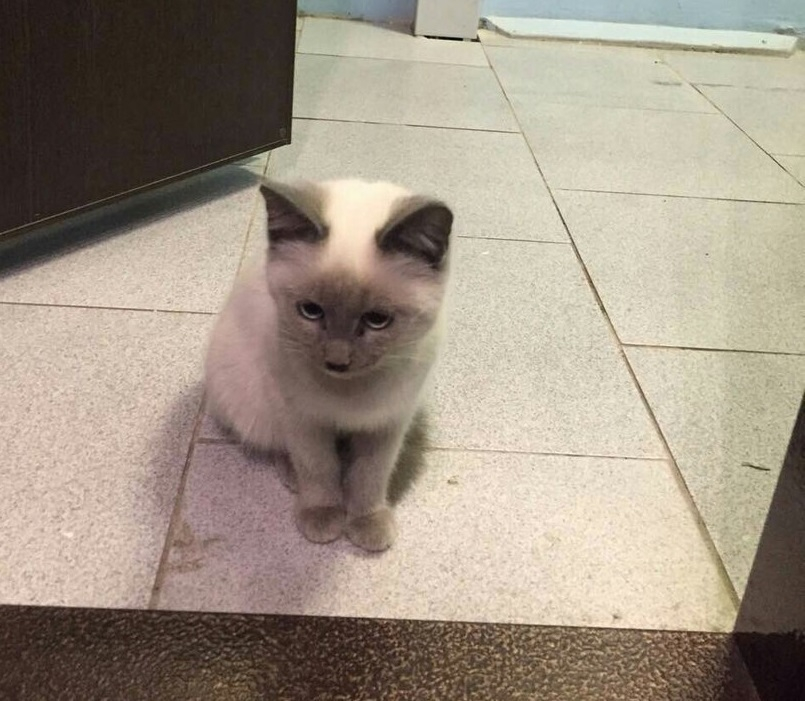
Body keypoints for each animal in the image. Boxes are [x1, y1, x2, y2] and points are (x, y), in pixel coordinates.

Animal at [204, 178, 453, 551]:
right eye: (311, 311)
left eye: (377, 320)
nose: (337, 361)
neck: (348, 395)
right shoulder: (303, 417)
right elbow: (318, 468)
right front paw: (322, 516)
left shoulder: (387, 422)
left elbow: (370, 475)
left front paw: (366, 523)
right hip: (255, 403)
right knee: (279, 446)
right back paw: (294, 478)